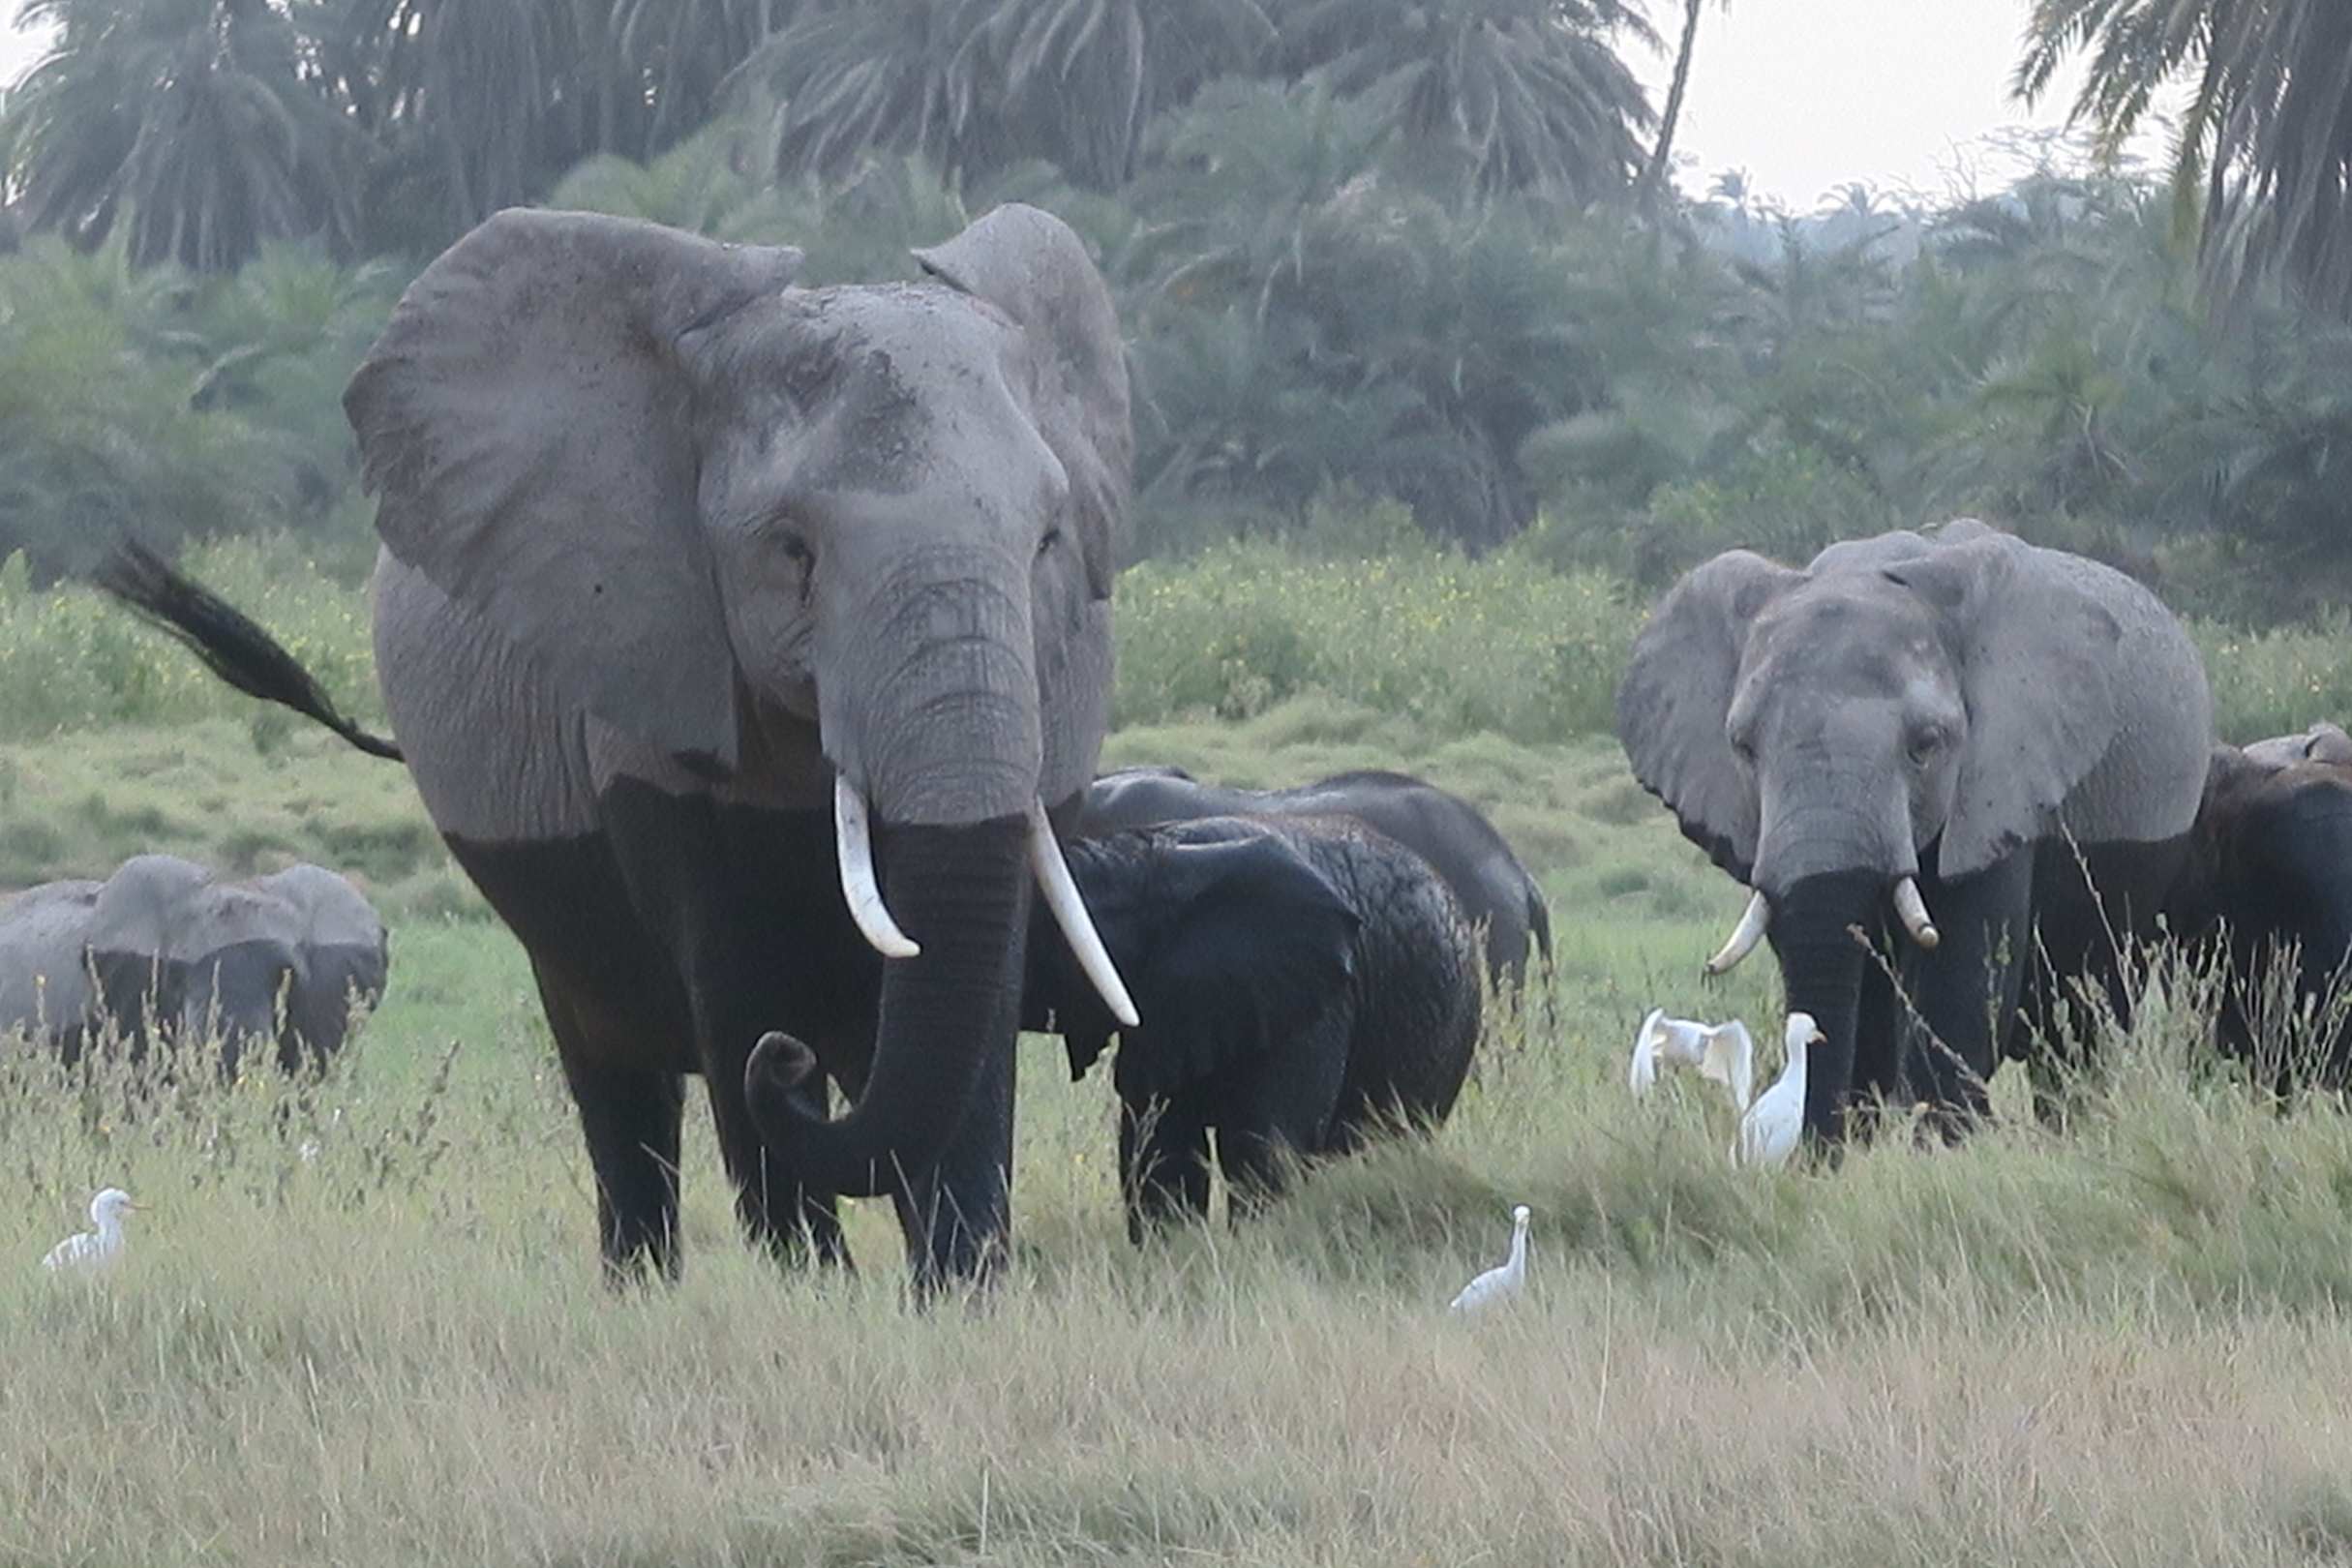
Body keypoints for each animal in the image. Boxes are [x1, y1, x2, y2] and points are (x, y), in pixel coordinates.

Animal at [97, 201, 1138, 1288]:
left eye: (1049, 543)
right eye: (791, 550)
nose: (790, 1060)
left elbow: (980, 1005)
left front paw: (957, 1289)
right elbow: (736, 991)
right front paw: (818, 1288)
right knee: (616, 1077)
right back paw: (642, 1280)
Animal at [1616, 519, 2212, 1146]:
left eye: (1926, 745)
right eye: (1743, 748)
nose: (1809, 1148)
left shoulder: (2000, 779)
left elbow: (1962, 968)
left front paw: (1945, 1147)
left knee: (2082, 1021)